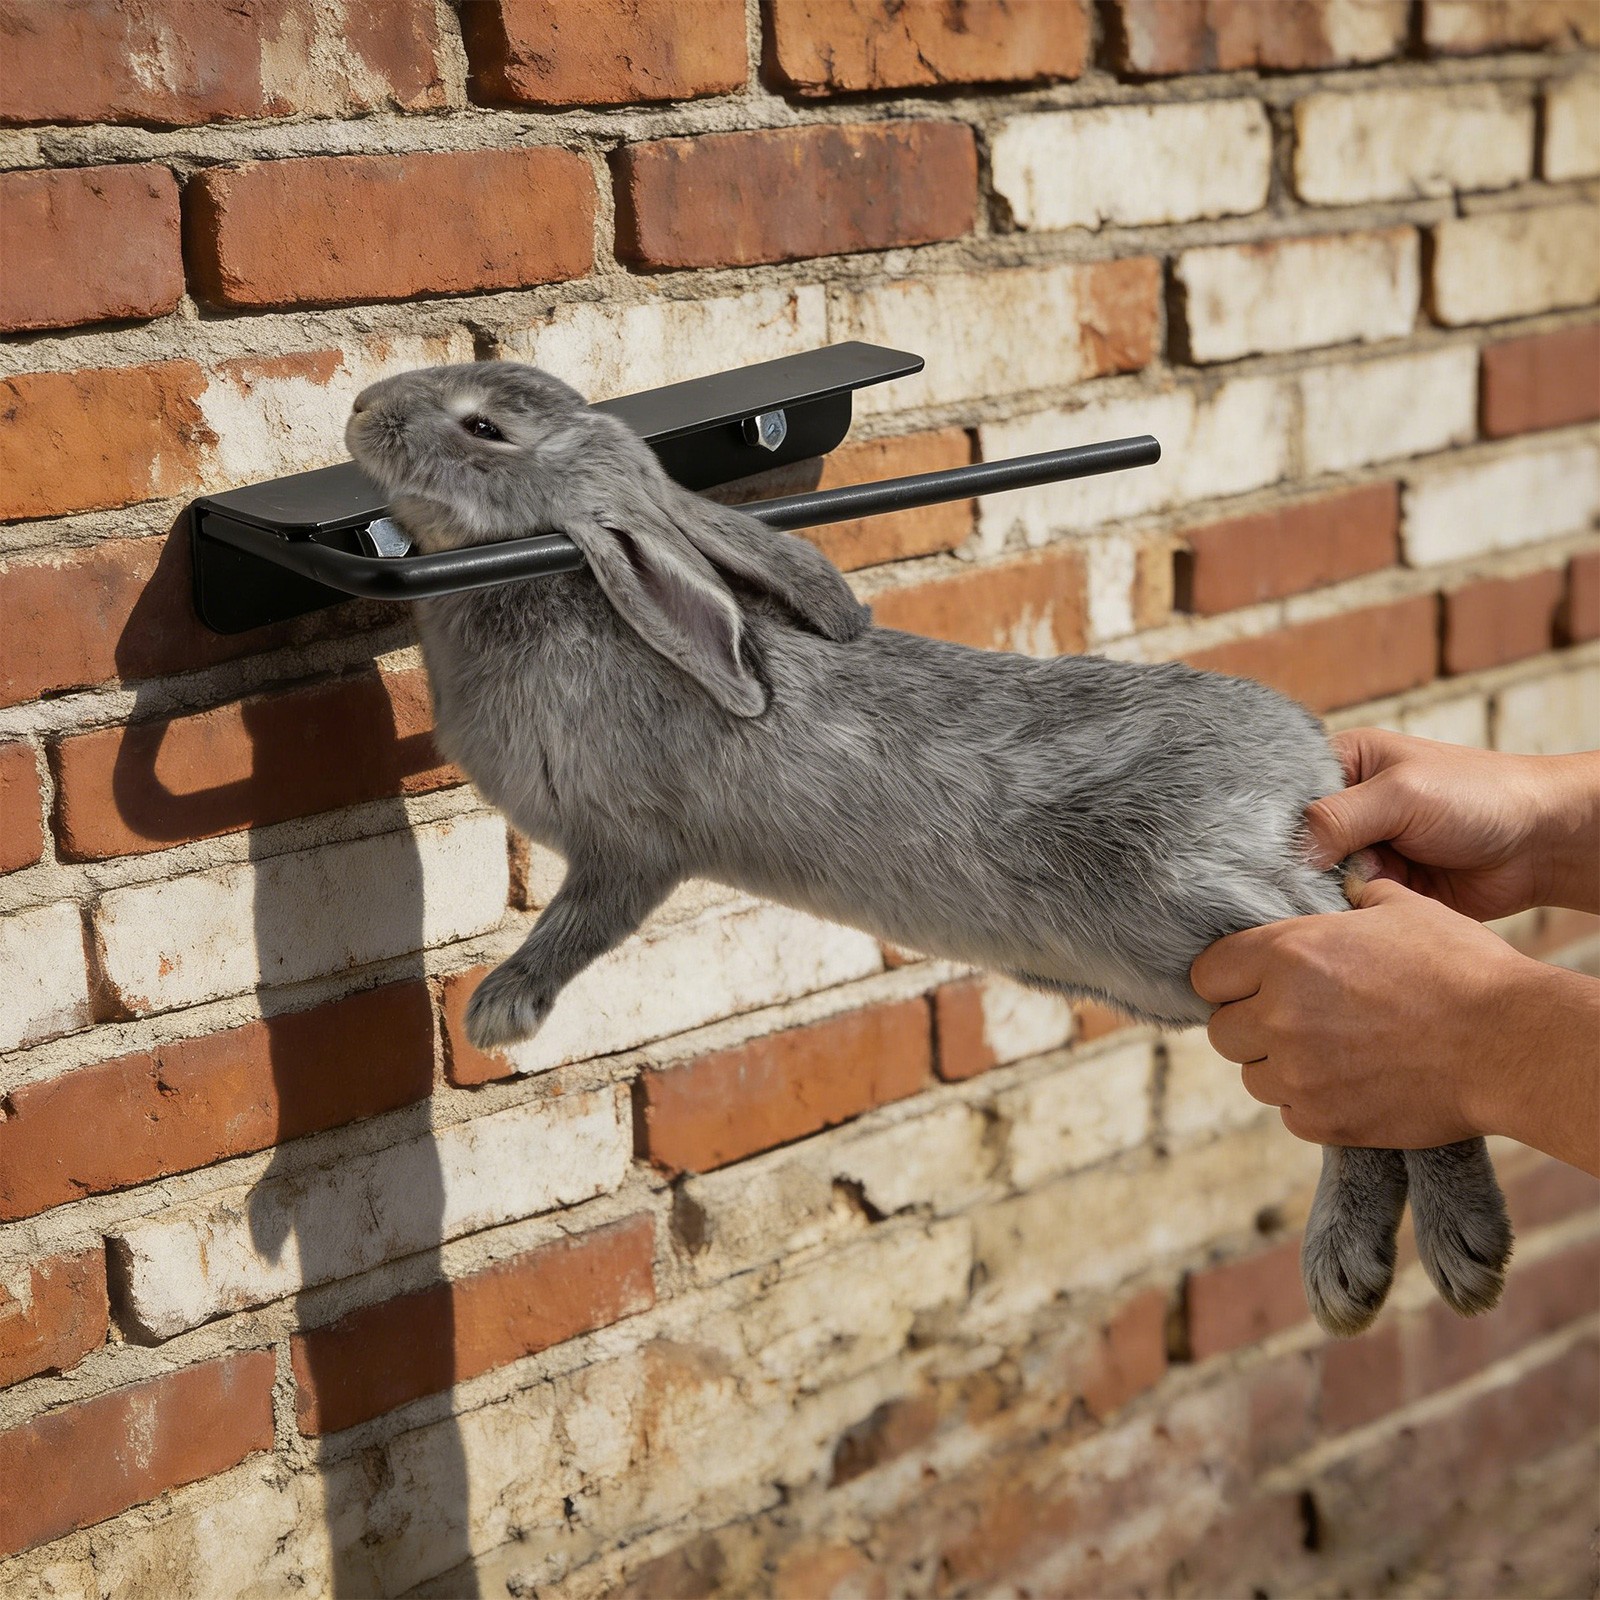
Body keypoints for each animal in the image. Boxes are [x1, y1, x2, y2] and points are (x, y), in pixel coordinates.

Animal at [345, 359, 1512, 1339]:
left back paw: (1452, 1248)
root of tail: (1305, 779)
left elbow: (576, 925)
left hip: (1194, 893)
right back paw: (1358, 1267)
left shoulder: (627, 850)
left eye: (482, 428)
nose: (362, 410)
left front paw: (497, 1013)